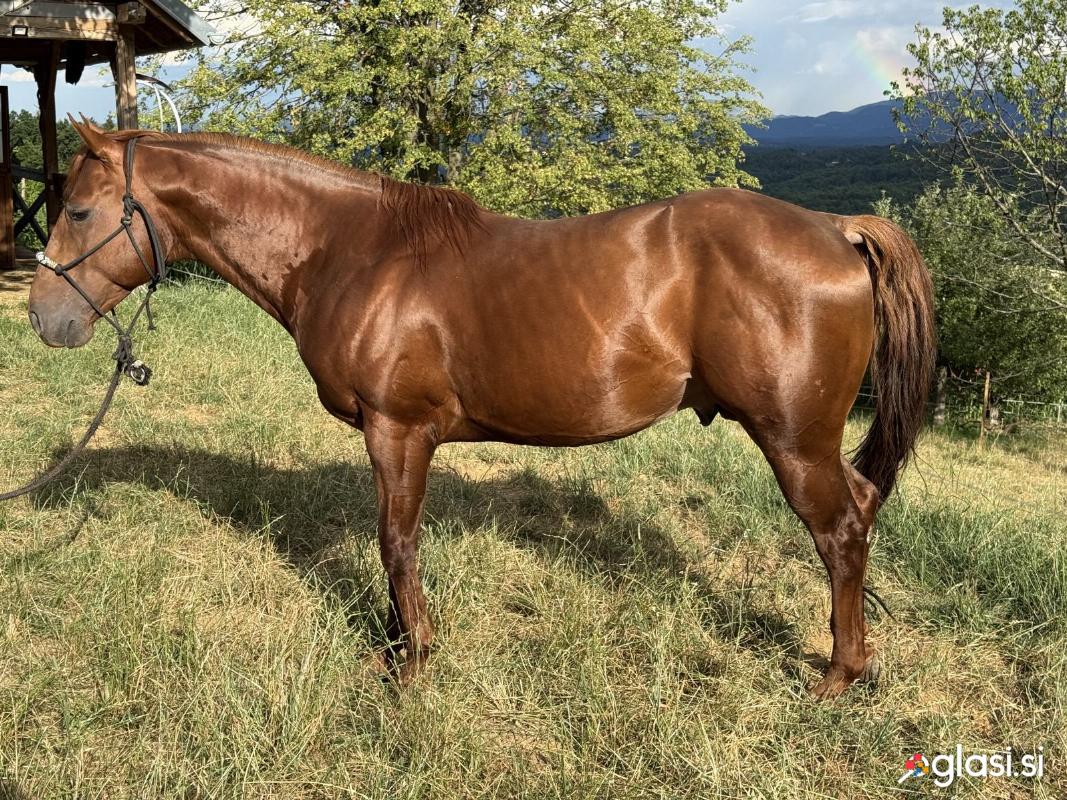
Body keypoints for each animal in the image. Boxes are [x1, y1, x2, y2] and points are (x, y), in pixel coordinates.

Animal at [27, 121, 935, 699]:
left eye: (79, 210)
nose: (44, 317)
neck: (351, 251)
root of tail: (834, 228)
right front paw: (398, 650)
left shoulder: (398, 430)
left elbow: (395, 543)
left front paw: (409, 665)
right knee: (859, 512)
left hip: (793, 438)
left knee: (839, 532)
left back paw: (838, 677)